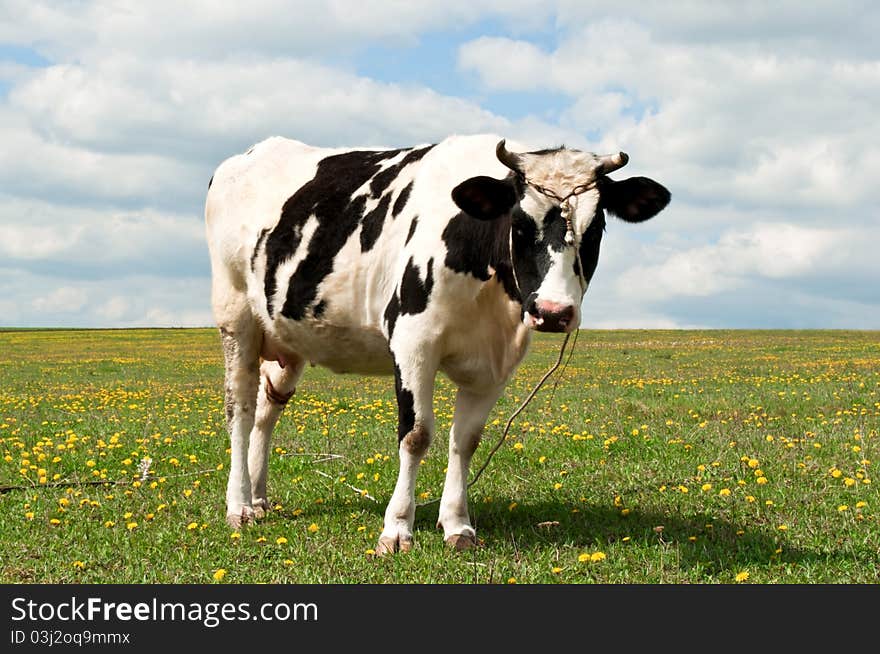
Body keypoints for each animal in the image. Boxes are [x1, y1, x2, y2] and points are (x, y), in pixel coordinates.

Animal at [206, 133, 672, 552]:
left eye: (597, 226)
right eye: (520, 224)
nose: (554, 311)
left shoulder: (496, 365)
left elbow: (466, 441)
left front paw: (457, 524)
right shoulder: (413, 342)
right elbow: (415, 435)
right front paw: (397, 529)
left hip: (286, 337)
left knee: (267, 412)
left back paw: (259, 497)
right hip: (235, 314)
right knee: (239, 409)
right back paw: (239, 505)